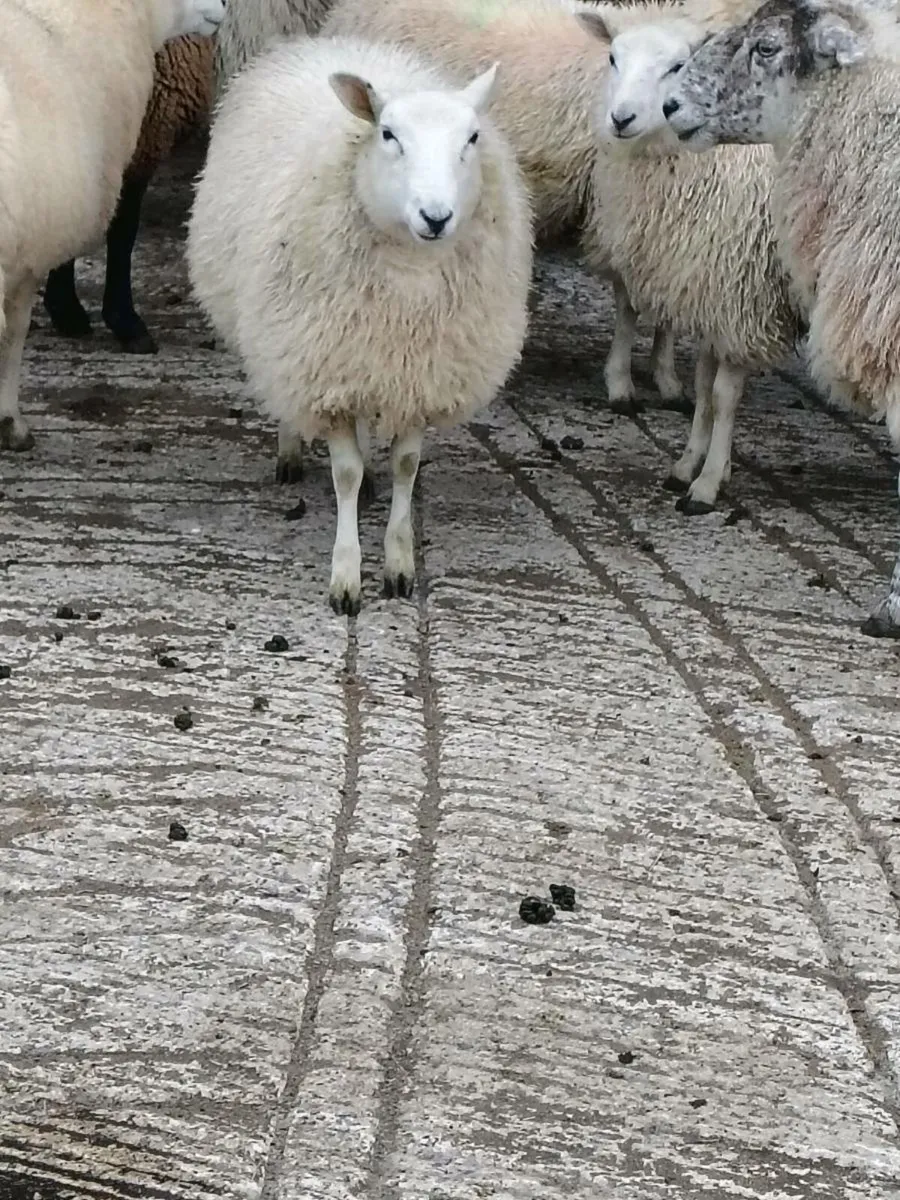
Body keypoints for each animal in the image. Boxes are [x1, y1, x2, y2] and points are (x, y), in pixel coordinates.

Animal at [186, 34, 533, 616]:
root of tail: (332, 42)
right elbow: (343, 473)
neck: (410, 275)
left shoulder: (416, 376)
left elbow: (407, 467)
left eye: (472, 138)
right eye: (388, 134)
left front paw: (399, 566)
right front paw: (346, 577)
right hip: (290, 340)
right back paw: (290, 451)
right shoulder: (327, 369)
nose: (436, 217)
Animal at [321, 0, 687, 414]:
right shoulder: (624, 214)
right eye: (613, 59)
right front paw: (622, 382)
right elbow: (629, 305)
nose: (621, 119)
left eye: (679, 65)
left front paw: (666, 378)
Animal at [578, 5, 799, 513]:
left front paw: (709, 482)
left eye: (678, 66)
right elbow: (702, 387)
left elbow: (723, 394)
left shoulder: (743, 297)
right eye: (613, 57)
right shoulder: (706, 282)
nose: (621, 118)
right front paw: (687, 465)